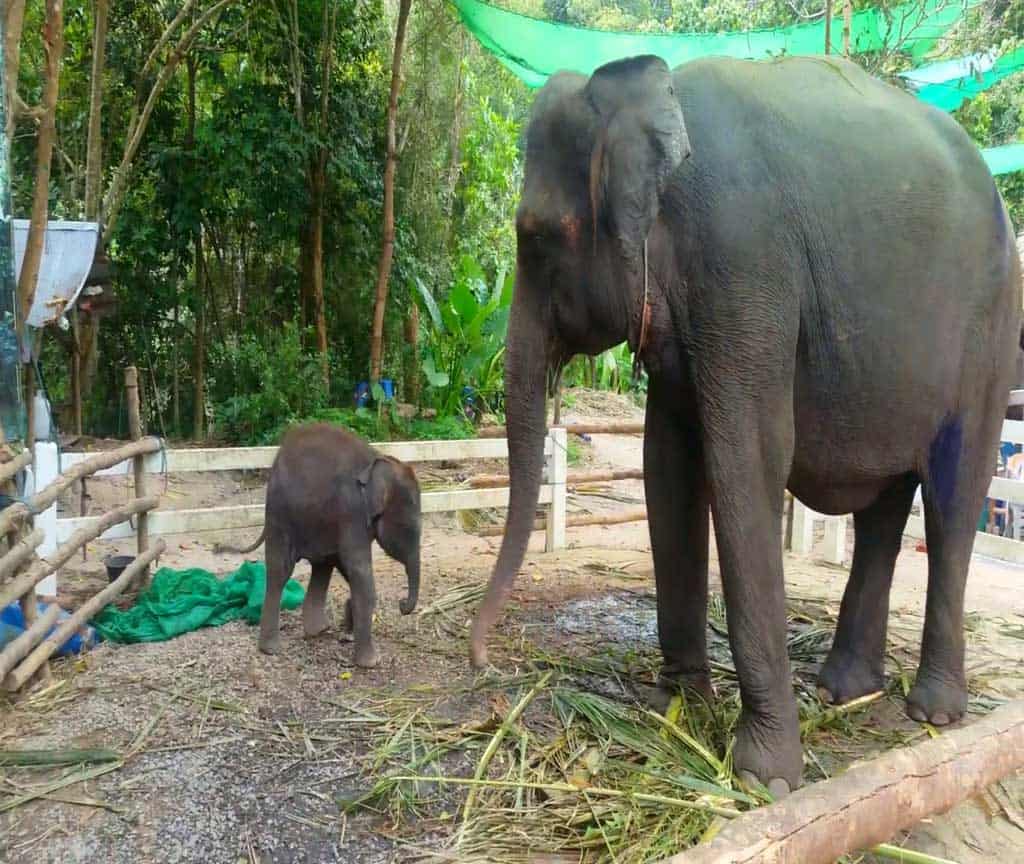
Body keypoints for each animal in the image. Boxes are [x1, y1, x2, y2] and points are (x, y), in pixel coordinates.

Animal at [216, 421, 419, 663]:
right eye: (409, 529)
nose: (402, 605)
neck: (377, 460)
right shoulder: (351, 513)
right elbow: (358, 569)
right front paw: (371, 662)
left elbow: (348, 568)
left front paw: (350, 623)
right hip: (280, 515)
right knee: (281, 571)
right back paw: (271, 649)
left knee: (323, 566)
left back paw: (318, 630)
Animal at [468, 54, 1019, 798]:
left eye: (537, 237)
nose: (482, 663)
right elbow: (667, 464)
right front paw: (675, 708)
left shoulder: (744, 261)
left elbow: (747, 456)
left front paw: (765, 779)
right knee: (884, 507)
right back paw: (844, 690)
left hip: (991, 334)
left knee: (955, 494)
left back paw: (932, 713)